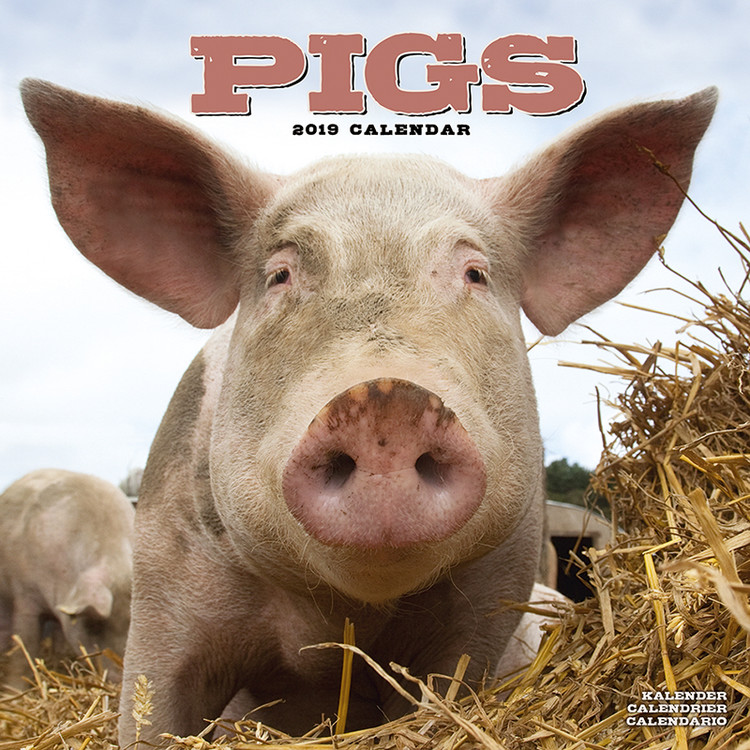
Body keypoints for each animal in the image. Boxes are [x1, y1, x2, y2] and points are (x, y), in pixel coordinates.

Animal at [19, 79, 716, 743]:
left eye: (475, 273)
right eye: (279, 275)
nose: (386, 402)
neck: (341, 621)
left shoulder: (491, 594)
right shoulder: (165, 582)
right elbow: (153, 708)